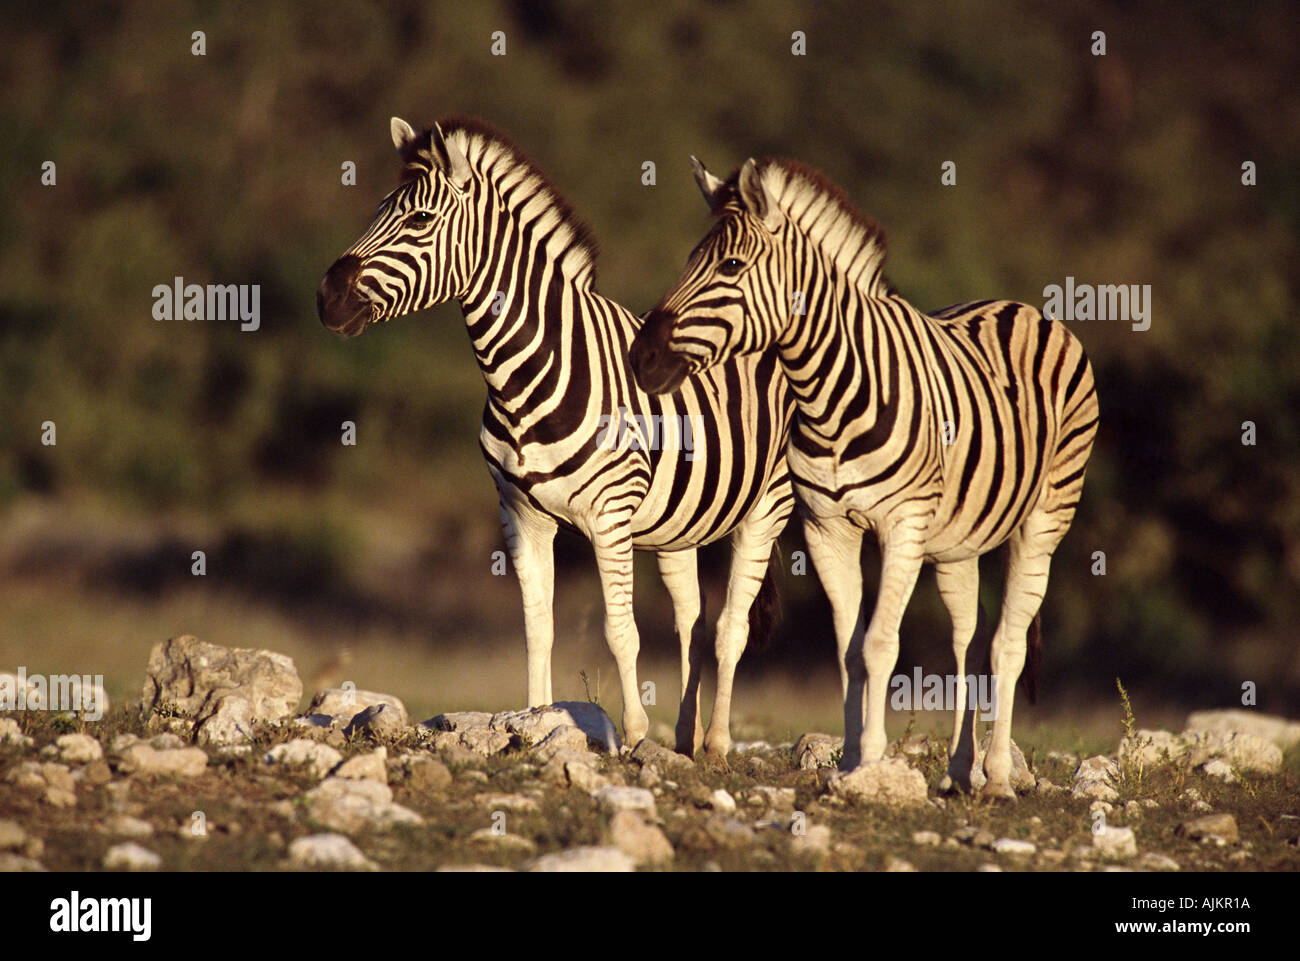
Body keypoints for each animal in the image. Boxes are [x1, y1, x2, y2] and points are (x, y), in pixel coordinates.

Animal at [317, 118, 795, 755]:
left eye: (418, 220)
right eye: (376, 211)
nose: (326, 297)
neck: (524, 375)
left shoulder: (610, 516)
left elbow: (621, 631)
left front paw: (633, 737)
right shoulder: (521, 515)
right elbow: (537, 625)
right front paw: (536, 719)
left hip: (767, 507)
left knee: (730, 626)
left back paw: (715, 743)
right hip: (679, 525)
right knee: (691, 617)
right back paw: (686, 736)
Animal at [629, 156, 1098, 798]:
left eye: (730, 266)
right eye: (689, 261)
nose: (640, 359)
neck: (829, 394)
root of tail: (1023, 307)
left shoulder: (903, 526)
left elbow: (879, 644)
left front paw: (872, 759)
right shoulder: (828, 528)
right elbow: (849, 648)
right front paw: (851, 760)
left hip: (1045, 518)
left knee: (1007, 645)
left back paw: (998, 777)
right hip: (957, 541)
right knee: (968, 639)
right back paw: (961, 769)